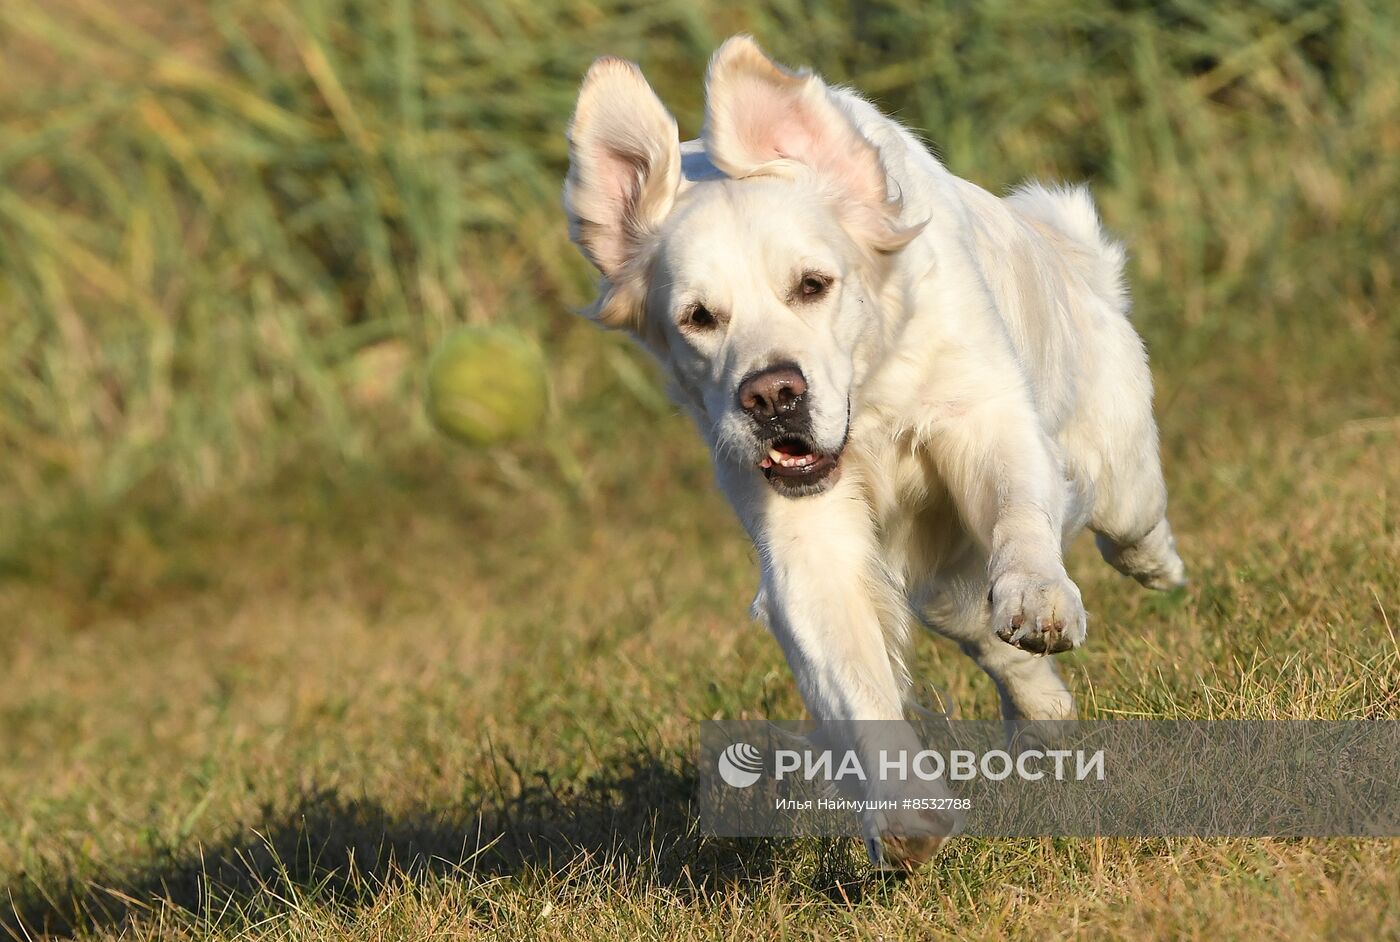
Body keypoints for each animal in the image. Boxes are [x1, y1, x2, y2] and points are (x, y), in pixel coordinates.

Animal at [562, 36, 1187, 873]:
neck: (872, 394)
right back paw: (1043, 724)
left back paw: (1155, 568)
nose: (772, 396)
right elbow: (853, 678)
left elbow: (1019, 517)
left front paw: (1039, 597)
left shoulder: (983, 416)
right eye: (698, 317)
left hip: (1112, 464)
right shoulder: (805, 534)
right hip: (946, 591)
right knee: (994, 646)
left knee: (1129, 521)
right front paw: (904, 816)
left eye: (812, 285)